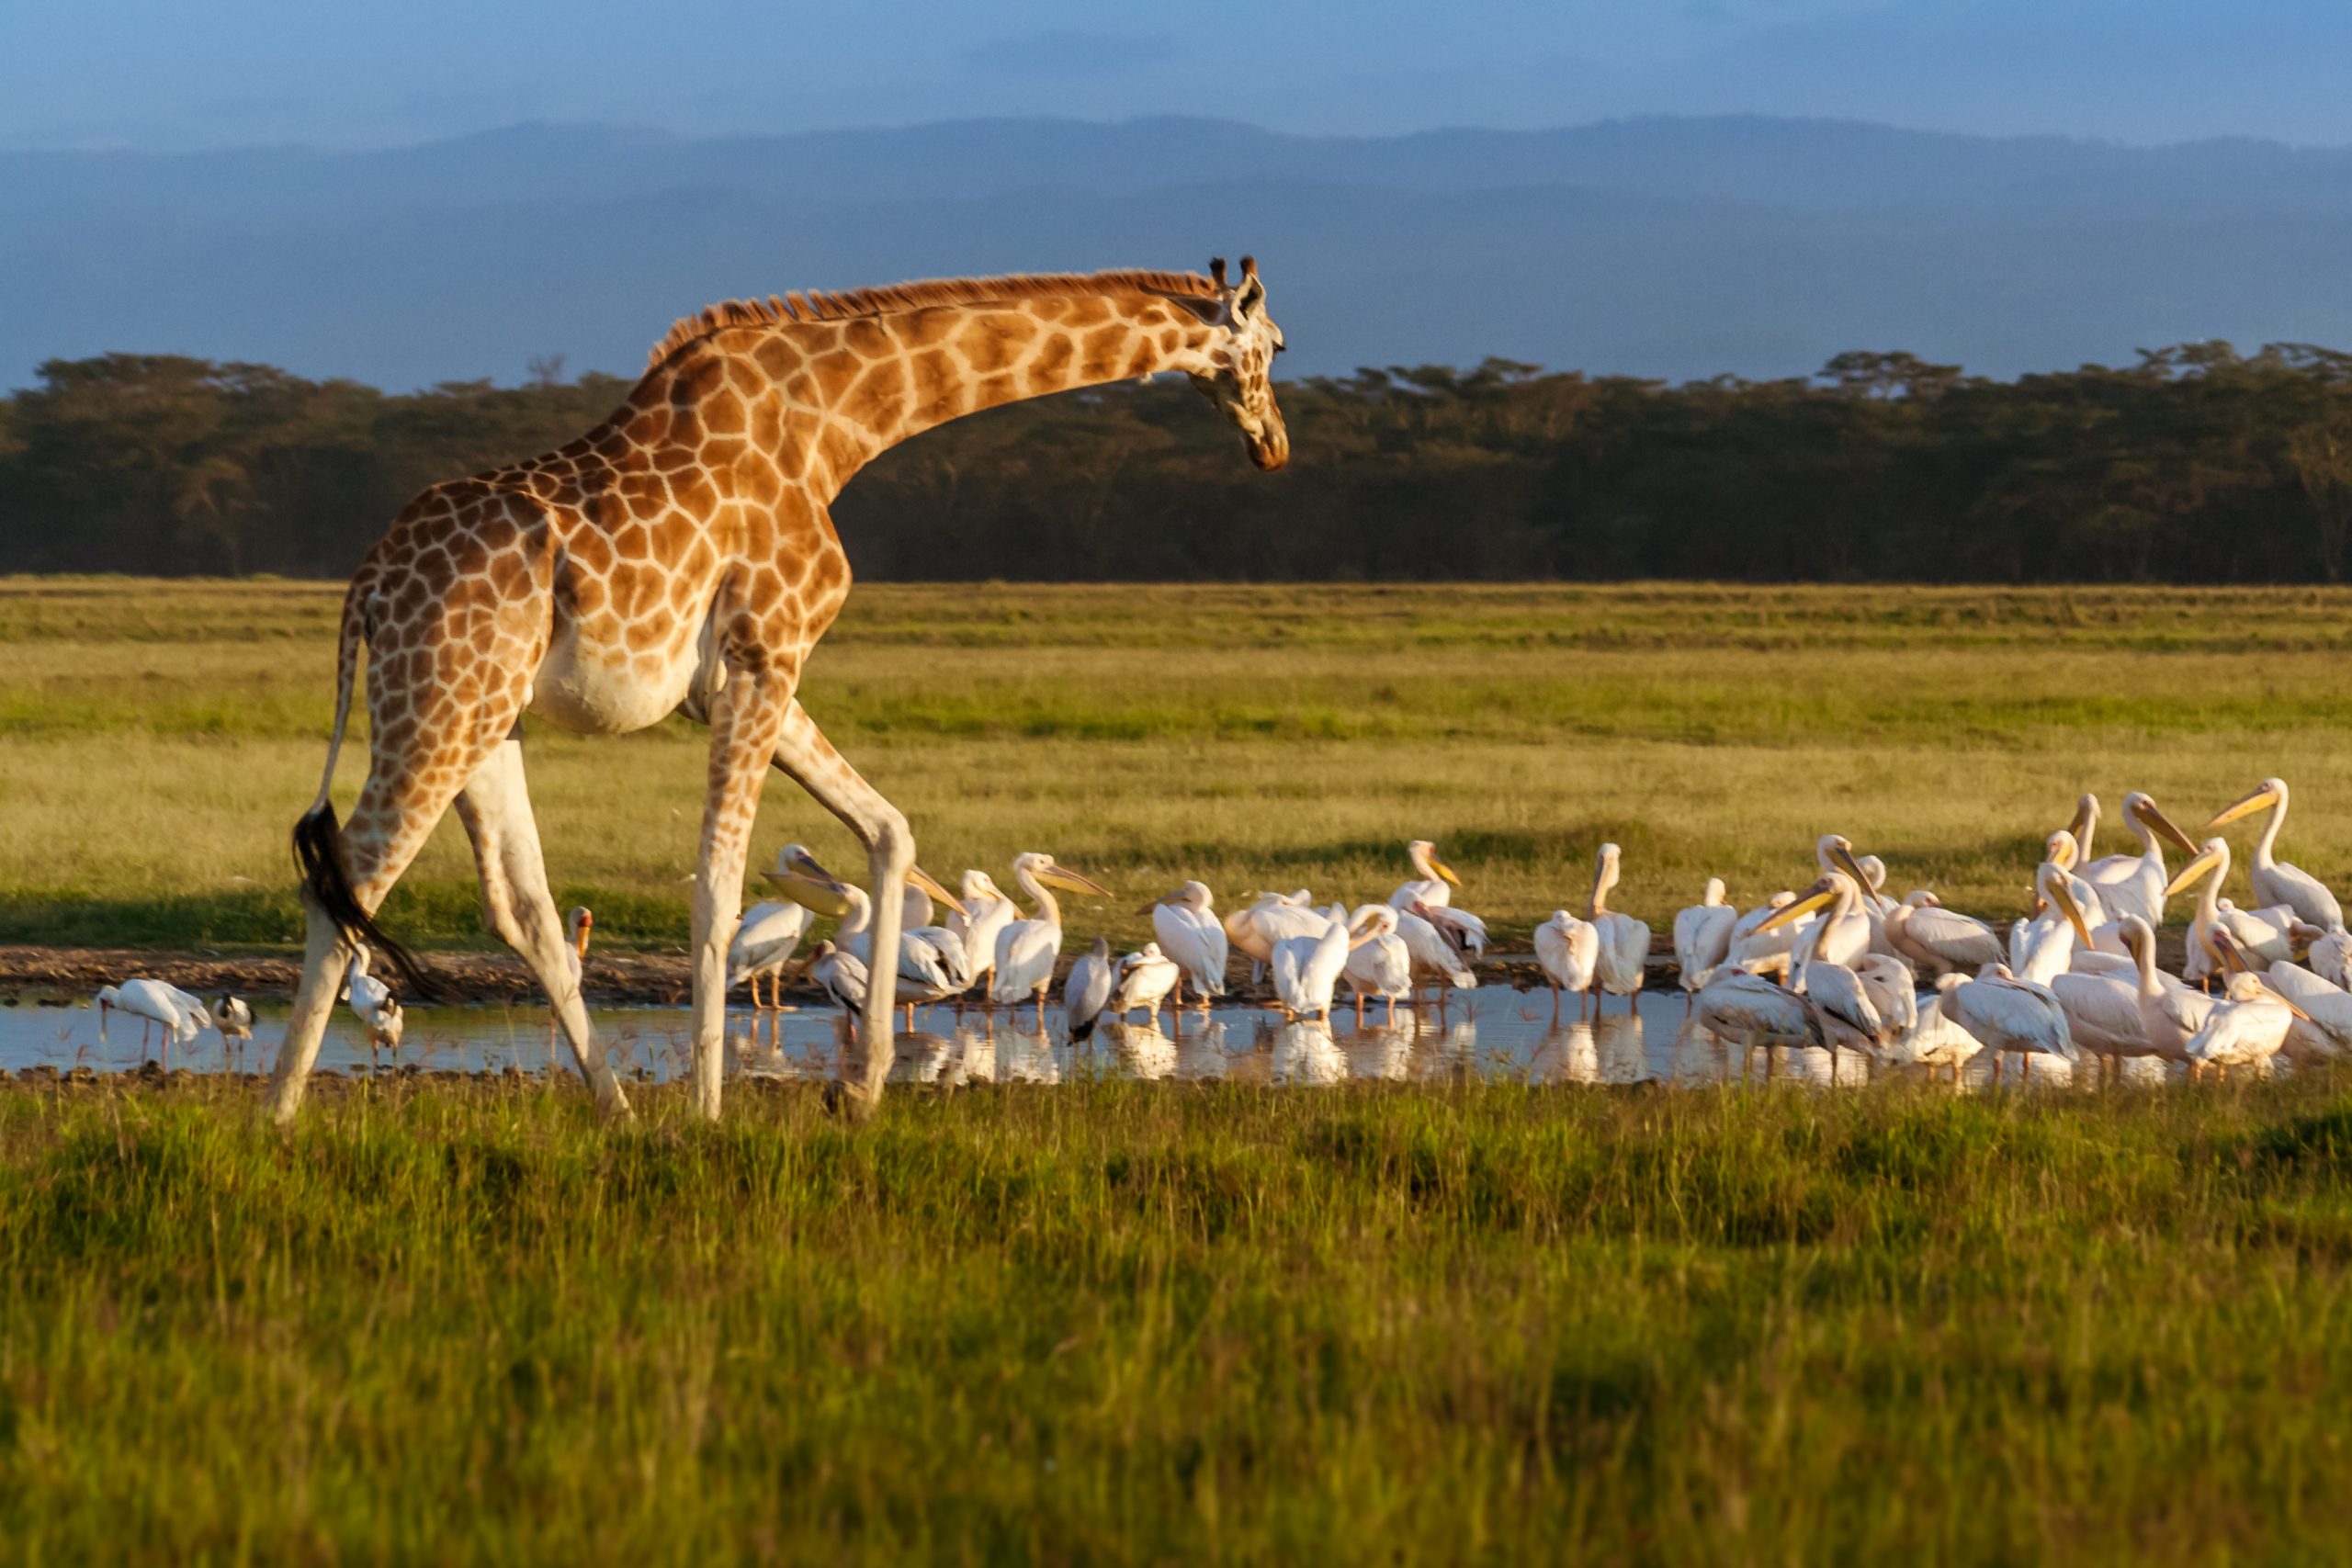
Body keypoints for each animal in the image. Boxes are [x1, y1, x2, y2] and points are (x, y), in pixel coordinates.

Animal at [279, 257, 1307, 1123]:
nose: (1274, 444)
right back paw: (282, 1116)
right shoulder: (766, 654)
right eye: (1279, 344)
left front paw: (862, 1089)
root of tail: (367, 586)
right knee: (350, 877)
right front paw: (709, 1111)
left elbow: (889, 831)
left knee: (517, 907)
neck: (837, 424)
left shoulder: (745, 675)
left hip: (493, 721)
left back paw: (618, 1111)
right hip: (440, 706)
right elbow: (719, 890)